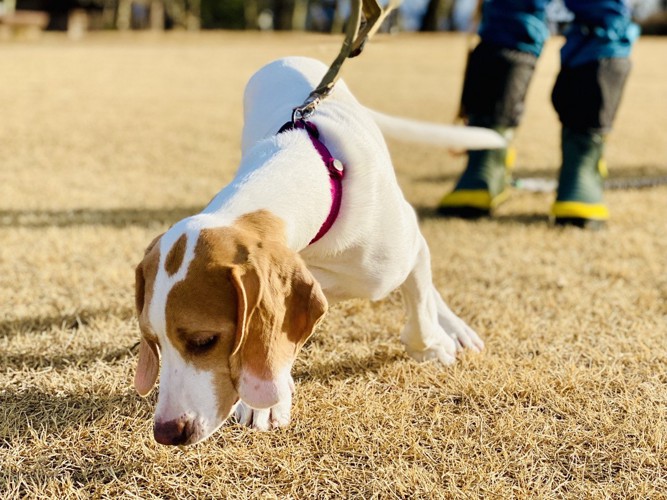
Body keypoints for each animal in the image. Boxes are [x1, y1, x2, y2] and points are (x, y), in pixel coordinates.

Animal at [133, 57, 504, 446]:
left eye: (205, 341)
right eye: (152, 340)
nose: (166, 432)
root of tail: (288, 59)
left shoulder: (402, 251)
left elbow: (419, 308)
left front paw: (431, 345)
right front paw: (266, 404)